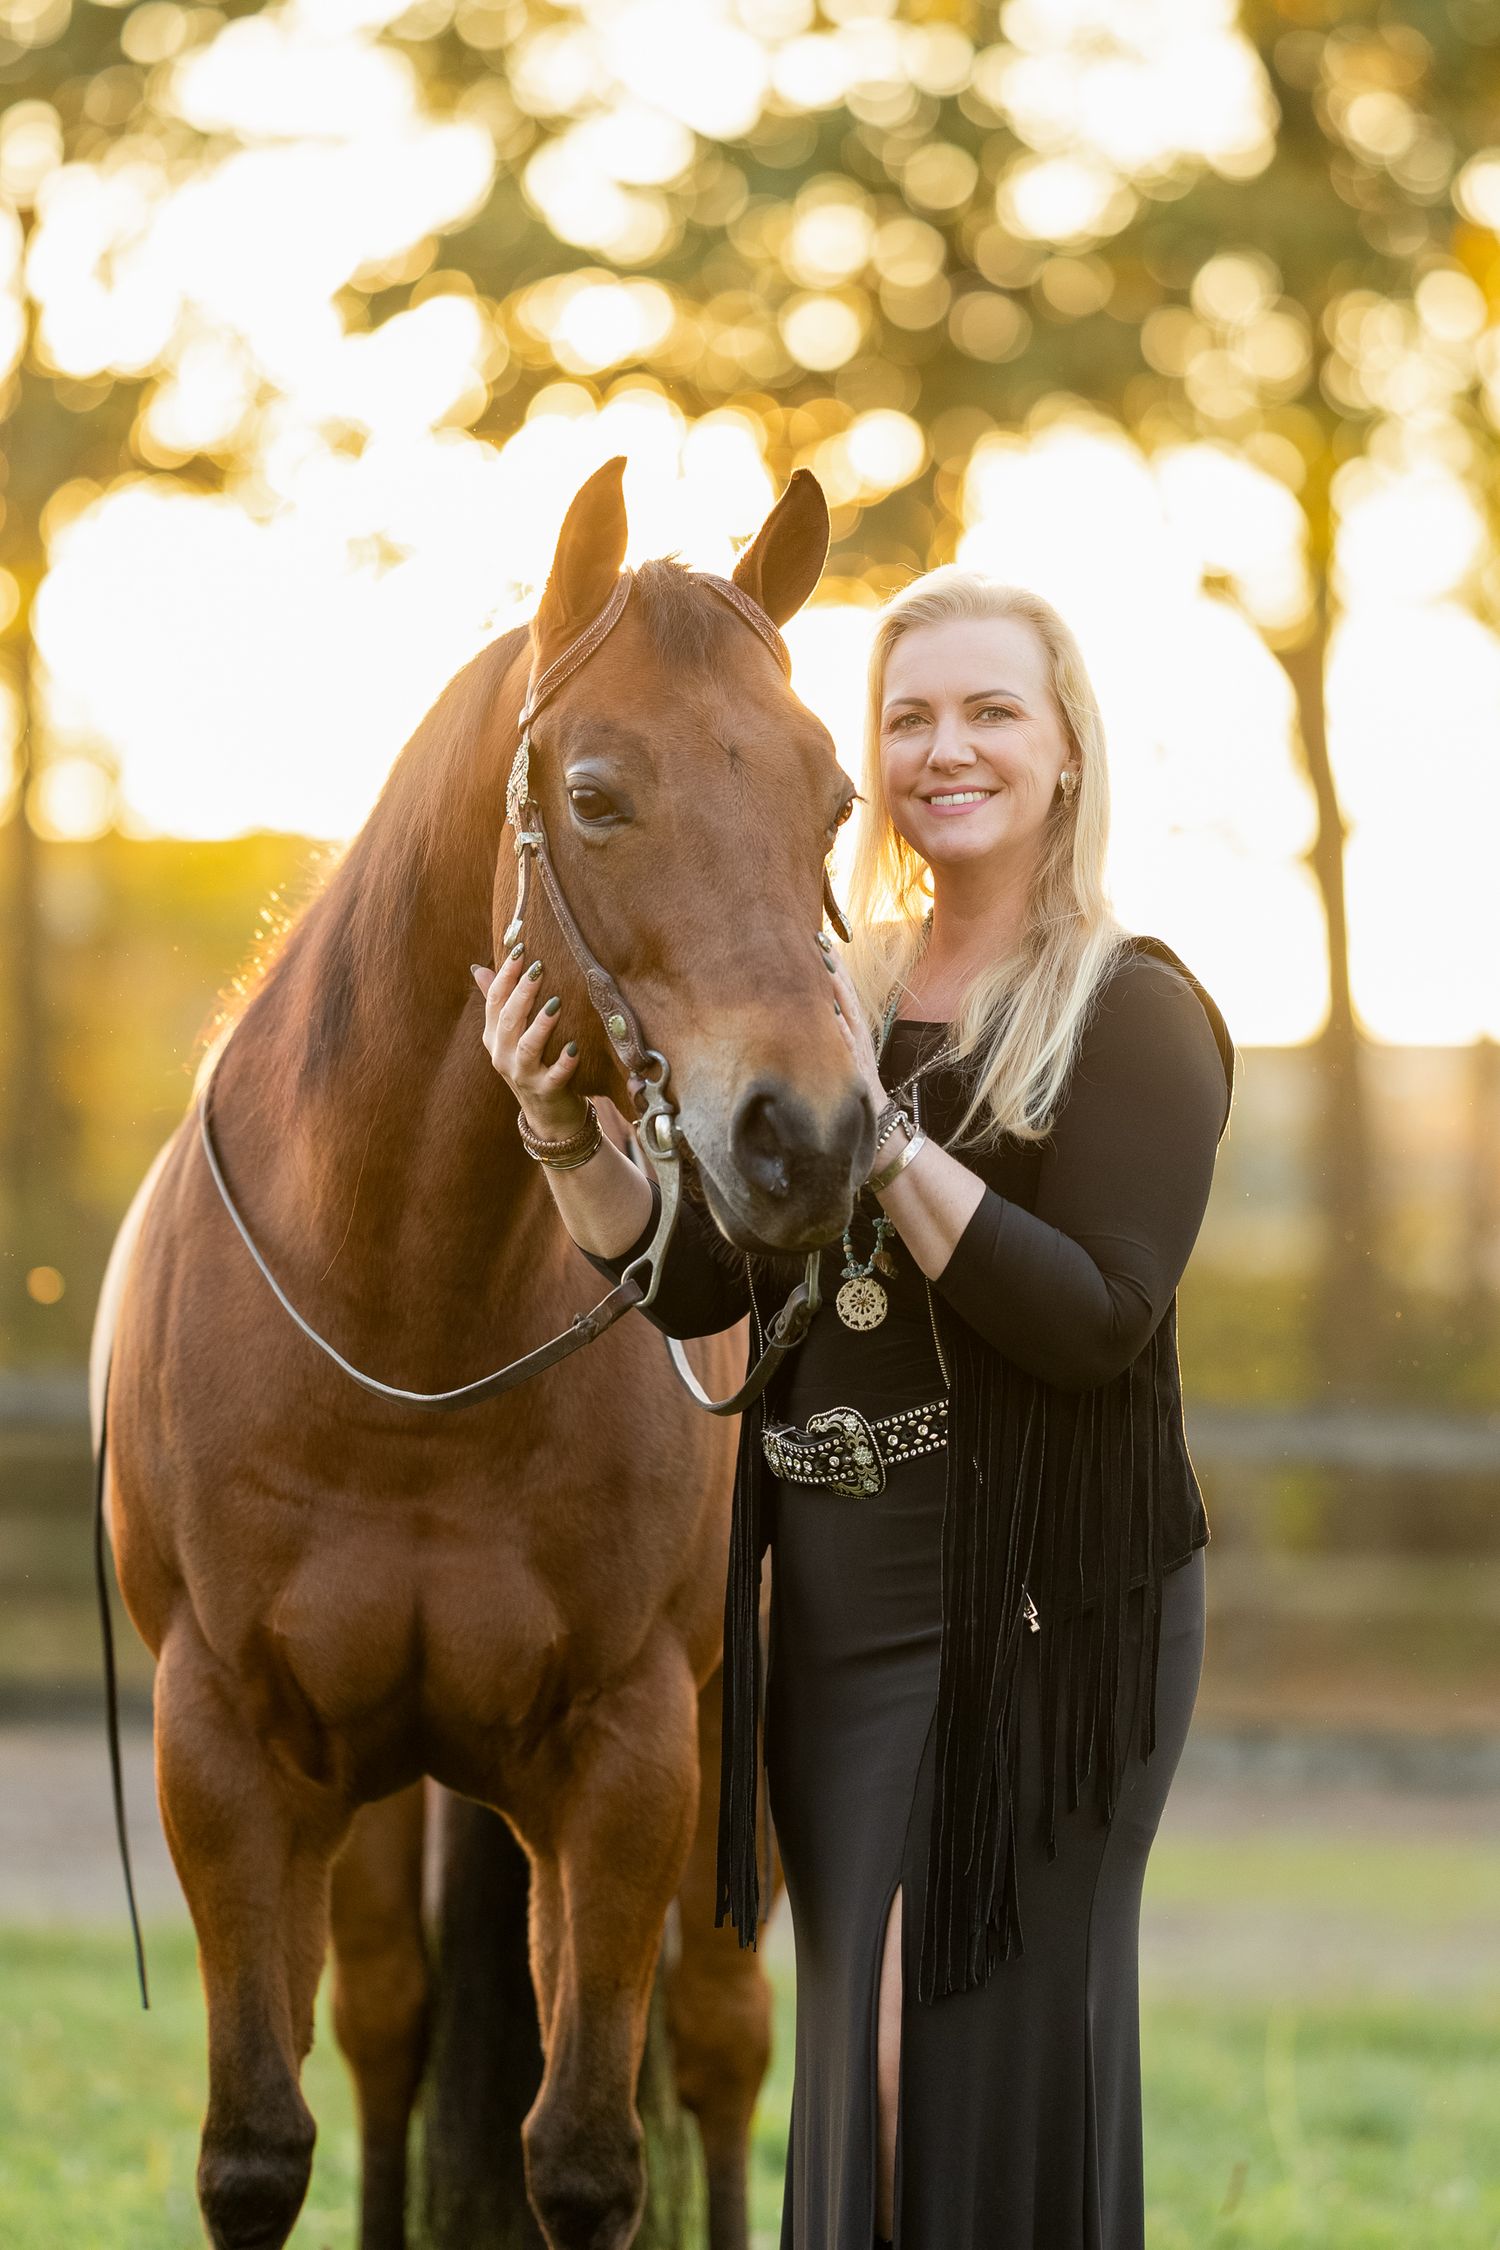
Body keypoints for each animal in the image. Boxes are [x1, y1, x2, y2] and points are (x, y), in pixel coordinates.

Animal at [88, 456, 873, 2250]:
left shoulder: (626, 1761)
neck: (403, 1328)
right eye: (595, 796)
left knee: (719, 2051)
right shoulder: (227, 1756)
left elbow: (586, 2154)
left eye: (836, 801)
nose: (807, 1138)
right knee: (386, 2031)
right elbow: (259, 2147)